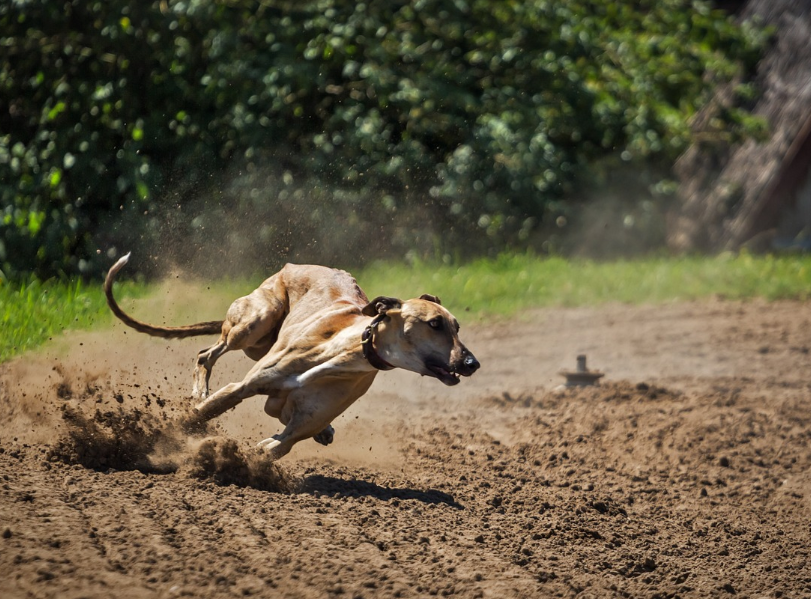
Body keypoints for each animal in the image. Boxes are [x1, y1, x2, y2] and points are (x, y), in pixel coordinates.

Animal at [104, 254, 478, 460]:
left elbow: (276, 446)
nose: (472, 364)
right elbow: (200, 414)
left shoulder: (295, 429)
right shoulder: (241, 387)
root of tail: (293, 265)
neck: (344, 351)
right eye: (435, 323)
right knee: (206, 353)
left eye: (458, 326)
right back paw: (199, 391)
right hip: (256, 320)